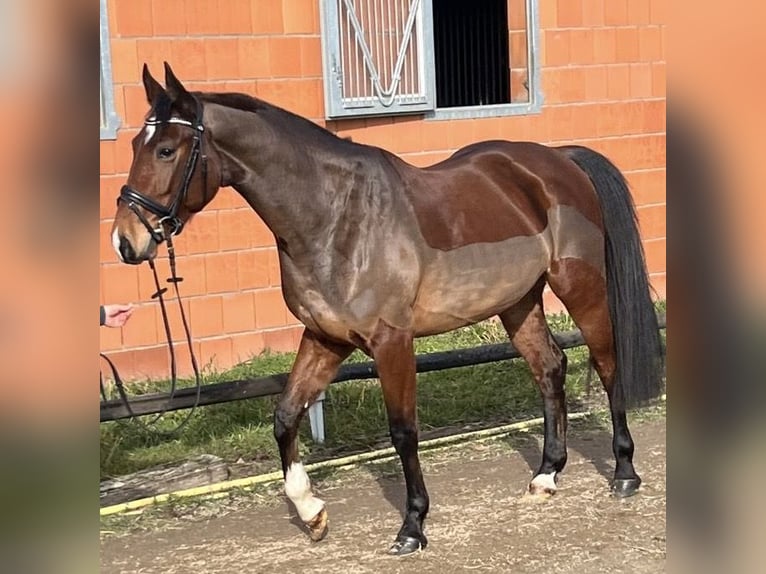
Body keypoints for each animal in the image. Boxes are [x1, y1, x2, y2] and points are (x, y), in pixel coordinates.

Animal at [111, 63, 662, 556]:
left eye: (166, 149)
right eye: (136, 145)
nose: (126, 240)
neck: (336, 218)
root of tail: (558, 161)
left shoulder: (391, 341)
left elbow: (402, 431)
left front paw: (413, 526)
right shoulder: (325, 338)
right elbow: (286, 415)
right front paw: (311, 513)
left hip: (579, 285)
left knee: (607, 364)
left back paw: (624, 472)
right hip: (517, 301)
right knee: (550, 368)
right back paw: (546, 475)